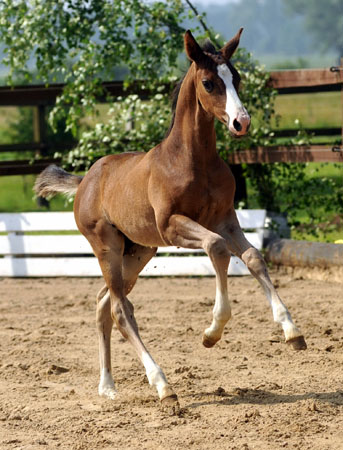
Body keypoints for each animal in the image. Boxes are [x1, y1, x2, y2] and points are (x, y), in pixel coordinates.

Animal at [36, 29, 308, 414]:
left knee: (104, 302)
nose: (241, 122)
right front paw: (212, 333)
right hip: (108, 247)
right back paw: (163, 386)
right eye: (209, 82)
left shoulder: (225, 219)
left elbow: (253, 256)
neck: (193, 160)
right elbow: (217, 248)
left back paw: (108, 386)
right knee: (120, 309)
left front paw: (292, 331)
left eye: (236, 78)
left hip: (138, 252)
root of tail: (86, 179)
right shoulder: (173, 226)